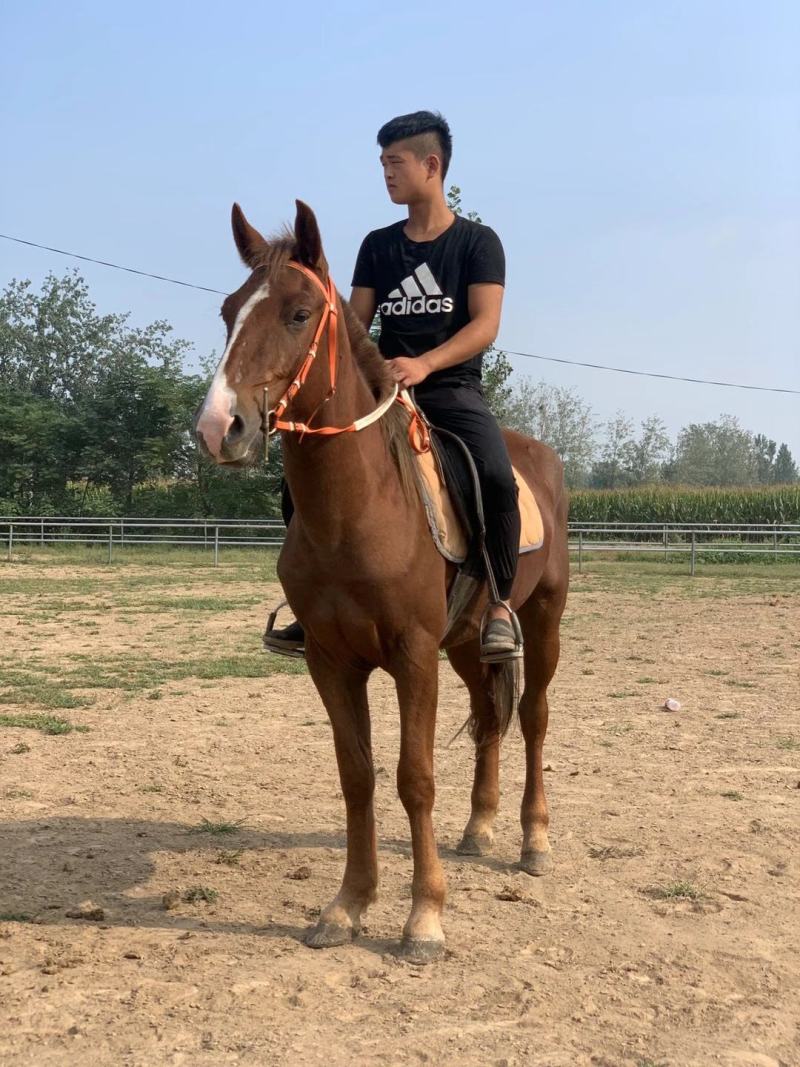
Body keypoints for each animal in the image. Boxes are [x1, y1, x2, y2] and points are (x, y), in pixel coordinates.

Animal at [194, 201, 569, 963]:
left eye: (299, 313)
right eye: (227, 311)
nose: (220, 427)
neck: (359, 508)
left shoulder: (412, 655)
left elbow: (413, 778)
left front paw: (424, 917)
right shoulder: (333, 660)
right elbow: (358, 775)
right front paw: (347, 905)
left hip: (543, 623)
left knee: (534, 719)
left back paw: (533, 840)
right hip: (467, 641)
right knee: (489, 718)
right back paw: (479, 828)